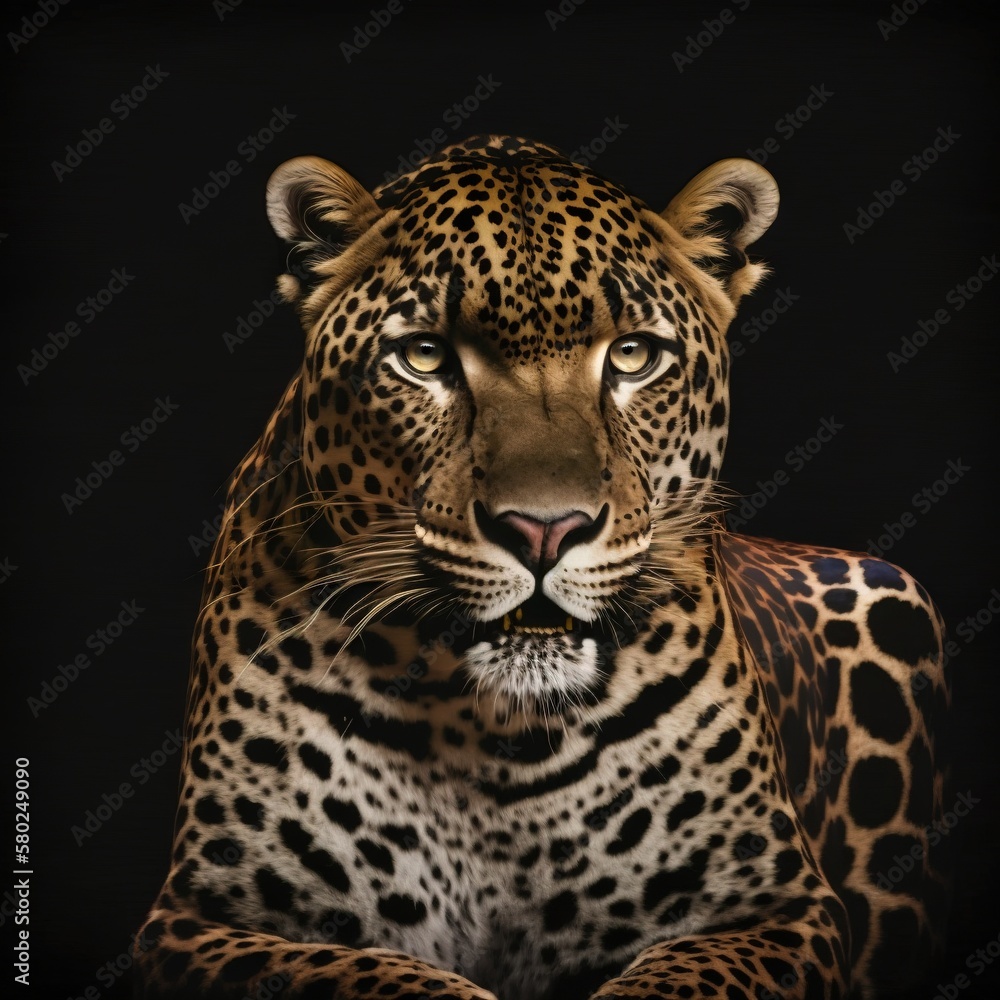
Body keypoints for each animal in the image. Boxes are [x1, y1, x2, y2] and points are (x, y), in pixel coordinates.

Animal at [133, 134, 951, 999]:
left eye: (634, 355)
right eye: (424, 356)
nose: (544, 530)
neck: (490, 734)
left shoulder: (778, 909)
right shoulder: (201, 920)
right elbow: (388, 976)